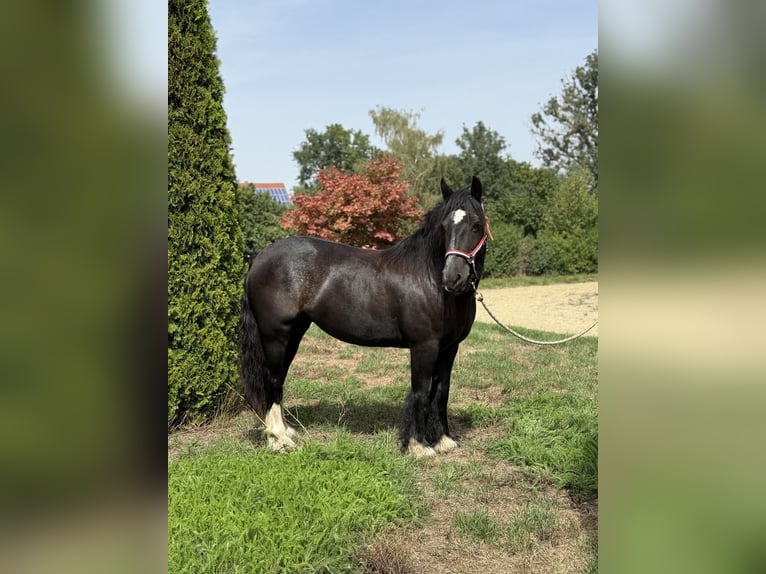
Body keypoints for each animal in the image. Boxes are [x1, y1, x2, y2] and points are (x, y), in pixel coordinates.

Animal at [239, 176, 490, 457]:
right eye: (445, 226)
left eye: (476, 224)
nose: (453, 277)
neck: (429, 279)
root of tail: (259, 257)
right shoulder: (424, 347)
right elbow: (421, 391)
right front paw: (418, 446)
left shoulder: (449, 348)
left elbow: (441, 391)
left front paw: (444, 440)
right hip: (276, 334)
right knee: (272, 379)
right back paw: (278, 439)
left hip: (294, 333)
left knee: (279, 379)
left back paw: (285, 432)